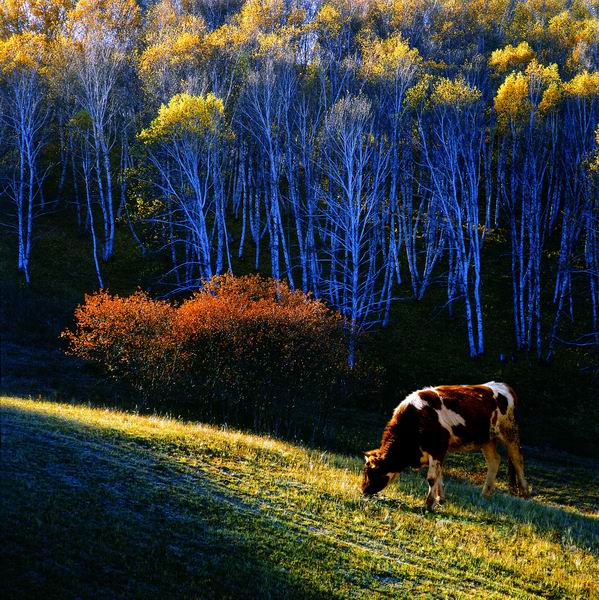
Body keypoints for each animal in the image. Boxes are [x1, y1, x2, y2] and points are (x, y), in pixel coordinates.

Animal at [360, 384, 528, 506]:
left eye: (370, 471)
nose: (363, 490)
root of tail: (504, 386)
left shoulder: (437, 448)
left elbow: (432, 477)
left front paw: (428, 504)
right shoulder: (437, 452)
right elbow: (439, 474)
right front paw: (440, 499)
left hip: (510, 432)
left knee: (517, 459)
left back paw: (525, 493)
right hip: (487, 439)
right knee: (494, 460)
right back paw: (484, 494)